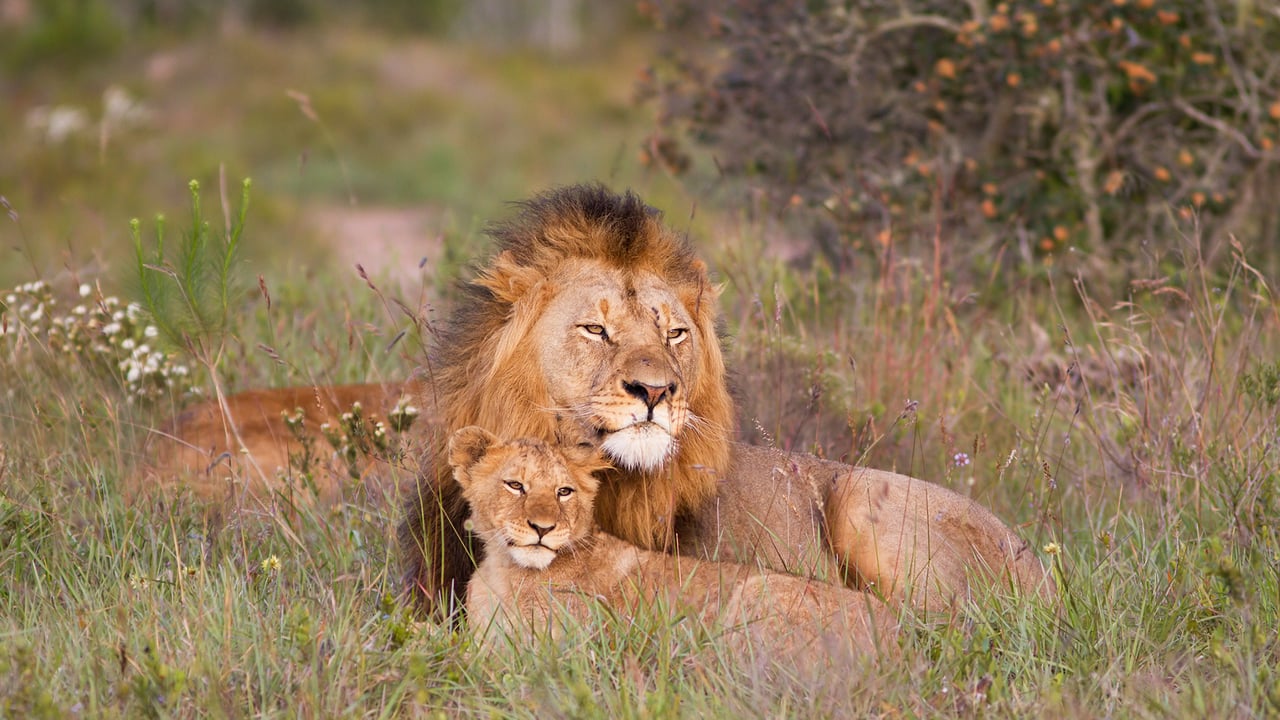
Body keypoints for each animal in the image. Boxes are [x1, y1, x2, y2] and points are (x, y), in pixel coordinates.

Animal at [450, 426, 898, 661]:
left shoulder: (555, 650)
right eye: (514, 485)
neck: (506, 571)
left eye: (564, 492)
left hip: (755, 598)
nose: (542, 528)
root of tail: (900, 638)